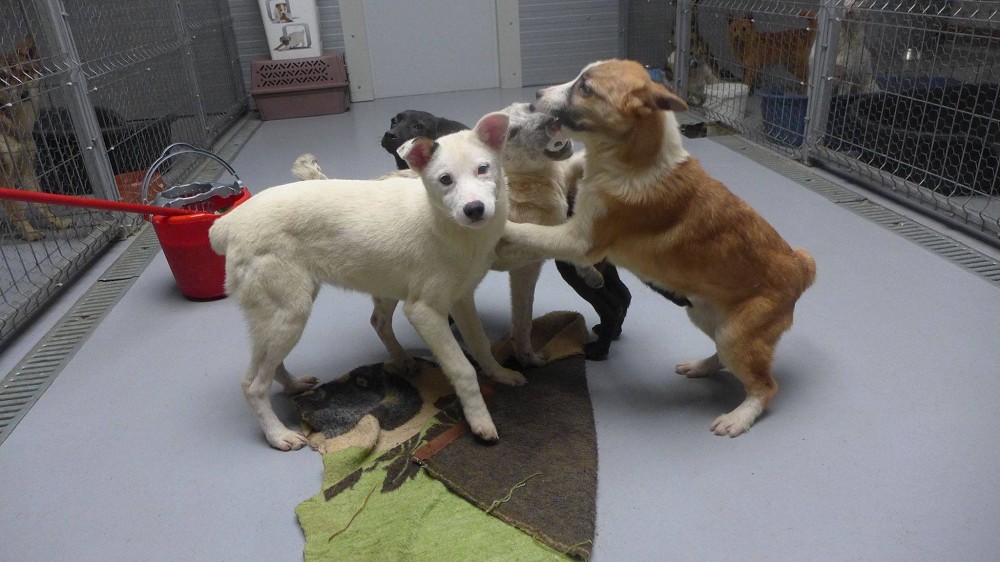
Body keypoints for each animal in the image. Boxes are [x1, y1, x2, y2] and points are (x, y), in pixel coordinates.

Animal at [0, 36, 71, 238]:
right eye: (4, 77)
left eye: (25, 72)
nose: (23, 93)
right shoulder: (4, 177)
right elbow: (16, 211)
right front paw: (30, 233)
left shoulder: (27, 167)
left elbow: (42, 203)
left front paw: (56, 222)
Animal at [211, 111, 524, 448]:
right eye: (445, 180)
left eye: (483, 169)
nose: (474, 210)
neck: (449, 224)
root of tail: (228, 223)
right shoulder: (424, 312)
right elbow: (463, 369)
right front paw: (480, 422)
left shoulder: (462, 299)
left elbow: (480, 344)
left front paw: (500, 374)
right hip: (289, 313)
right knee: (252, 384)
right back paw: (277, 434)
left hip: (292, 310)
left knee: (282, 359)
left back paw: (296, 385)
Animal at [504, 60, 816, 438]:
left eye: (586, 88)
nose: (535, 95)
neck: (635, 160)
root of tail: (800, 267)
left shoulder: (580, 241)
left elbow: (531, 231)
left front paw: (497, 223)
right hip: (708, 317)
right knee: (725, 358)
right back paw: (701, 367)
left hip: (737, 334)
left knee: (766, 387)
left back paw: (739, 417)